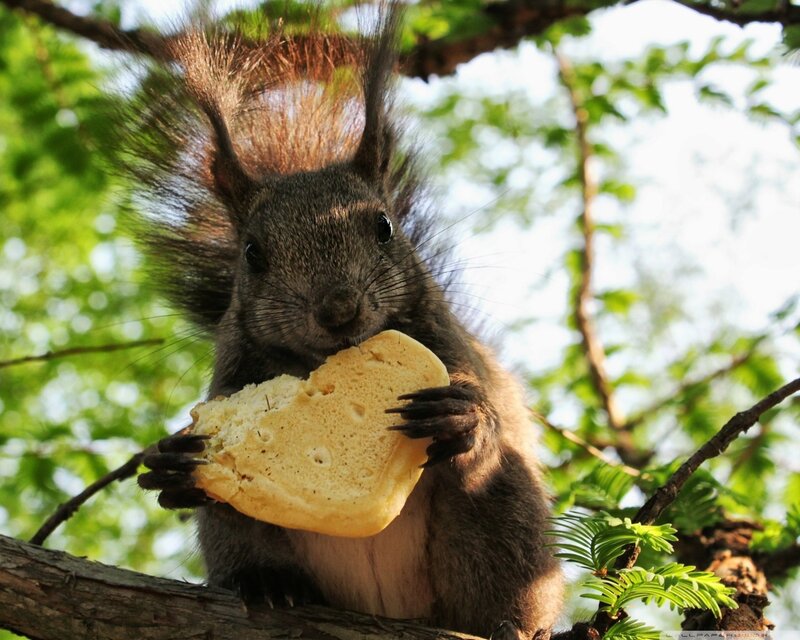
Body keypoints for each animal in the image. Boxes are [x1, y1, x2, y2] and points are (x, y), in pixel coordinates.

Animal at [134, 6, 563, 639]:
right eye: (252, 254)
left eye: (384, 227)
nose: (338, 311)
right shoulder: (232, 376)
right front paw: (170, 465)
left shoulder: (450, 348)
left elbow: (483, 409)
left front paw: (462, 415)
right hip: (238, 534)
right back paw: (267, 583)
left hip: (505, 520)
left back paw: (512, 621)